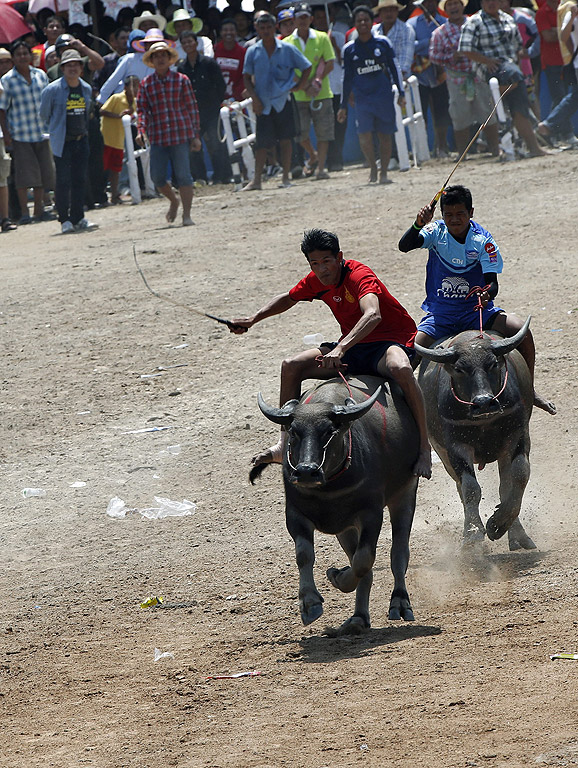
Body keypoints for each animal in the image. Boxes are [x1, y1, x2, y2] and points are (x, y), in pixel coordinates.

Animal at [250, 376, 416, 632]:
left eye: (329, 431)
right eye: (294, 432)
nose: (306, 471)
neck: (328, 489)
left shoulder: (371, 513)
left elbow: (363, 560)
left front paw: (337, 577)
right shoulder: (295, 514)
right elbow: (304, 555)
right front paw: (310, 603)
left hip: (405, 493)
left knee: (398, 553)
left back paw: (400, 603)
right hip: (345, 528)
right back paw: (358, 618)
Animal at [414, 318, 536, 552]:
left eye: (493, 364)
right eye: (460, 369)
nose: (484, 402)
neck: (484, 420)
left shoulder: (517, 435)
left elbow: (519, 475)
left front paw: (498, 524)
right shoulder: (456, 447)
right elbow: (470, 489)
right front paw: (473, 534)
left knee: (505, 486)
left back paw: (518, 535)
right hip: (443, 456)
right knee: (461, 489)